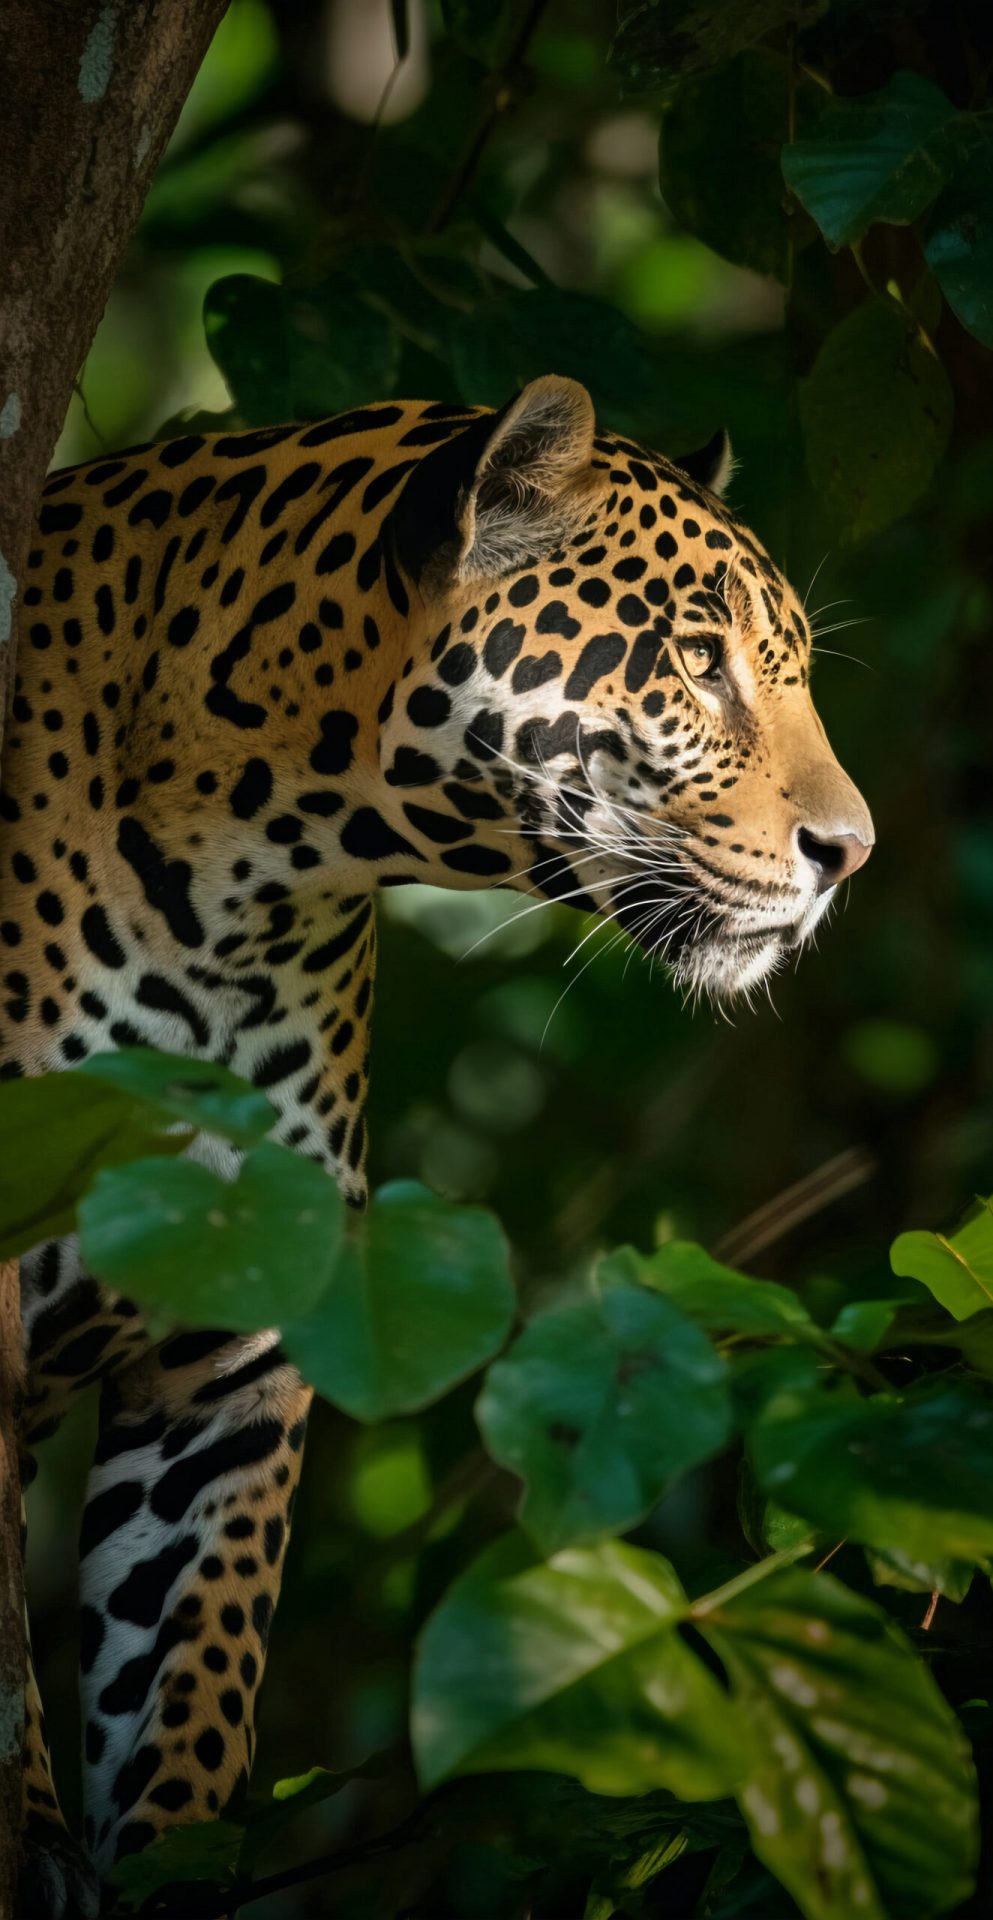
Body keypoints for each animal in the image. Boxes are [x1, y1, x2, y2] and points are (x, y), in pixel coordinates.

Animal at [0, 370, 868, 1904]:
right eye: (701, 663)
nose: (853, 851)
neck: (242, 879)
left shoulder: (232, 1341)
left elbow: (189, 1677)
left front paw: (171, 1862)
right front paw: (33, 1839)